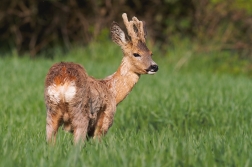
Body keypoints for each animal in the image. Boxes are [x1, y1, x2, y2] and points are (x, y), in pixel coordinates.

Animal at [43, 12, 158, 144]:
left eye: (151, 53)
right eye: (136, 54)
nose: (154, 67)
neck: (112, 91)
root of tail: (62, 78)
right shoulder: (105, 119)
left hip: (51, 110)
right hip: (80, 111)